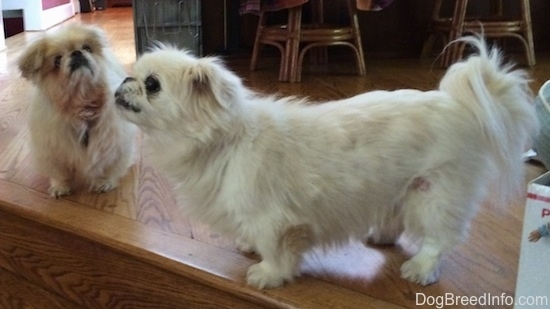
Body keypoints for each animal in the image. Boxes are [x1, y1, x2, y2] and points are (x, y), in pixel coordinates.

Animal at [19, 24, 137, 197]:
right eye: (57, 60)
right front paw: (60, 187)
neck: (82, 105)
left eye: (87, 48)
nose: (76, 53)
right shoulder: (52, 150)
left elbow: (110, 167)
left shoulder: (115, 144)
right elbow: (59, 173)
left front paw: (104, 183)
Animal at [113, 36, 540, 288]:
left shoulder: (273, 221)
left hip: (436, 193)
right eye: (134, 76)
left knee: (439, 239)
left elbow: (275, 251)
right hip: (401, 186)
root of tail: (457, 104)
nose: (122, 83)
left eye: (152, 85)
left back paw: (421, 270)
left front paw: (267, 275)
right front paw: (248, 246)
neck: (223, 143)